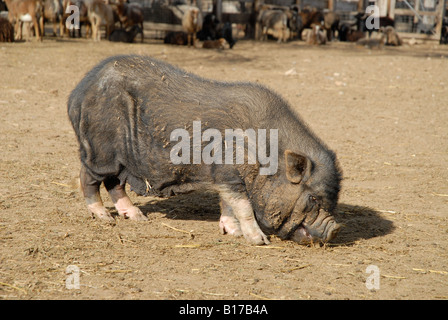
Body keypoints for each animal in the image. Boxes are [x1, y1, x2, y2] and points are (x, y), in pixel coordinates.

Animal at [66, 54, 342, 245]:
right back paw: (105, 217)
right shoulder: (229, 170)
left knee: (115, 184)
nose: (336, 229)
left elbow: (228, 204)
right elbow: (243, 206)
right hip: (101, 149)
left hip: (120, 159)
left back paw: (137, 217)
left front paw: (232, 232)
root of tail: (77, 94)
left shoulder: (224, 176)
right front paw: (259, 241)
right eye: (313, 198)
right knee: (88, 177)